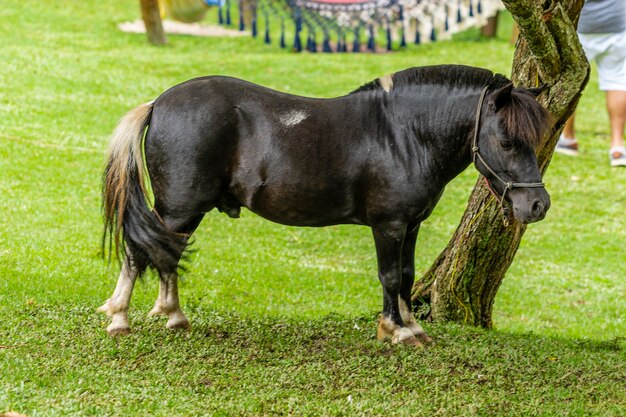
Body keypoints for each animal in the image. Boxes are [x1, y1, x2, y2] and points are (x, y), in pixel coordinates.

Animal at [97, 65, 544, 344]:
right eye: (507, 141)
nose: (538, 205)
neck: (402, 134)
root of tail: (158, 104)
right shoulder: (389, 225)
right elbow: (390, 277)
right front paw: (395, 330)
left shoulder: (411, 225)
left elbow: (406, 274)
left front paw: (413, 326)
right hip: (178, 207)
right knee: (140, 252)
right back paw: (120, 317)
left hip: (186, 211)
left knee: (167, 253)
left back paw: (174, 316)